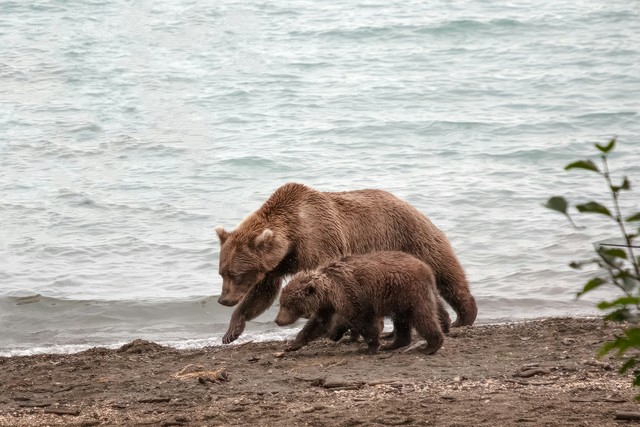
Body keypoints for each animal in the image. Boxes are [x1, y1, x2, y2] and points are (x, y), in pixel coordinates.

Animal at [215, 182, 476, 344]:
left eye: (235, 274)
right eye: (222, 272)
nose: (223, 299)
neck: (292, 236)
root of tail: (411, 205)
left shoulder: (319, 242)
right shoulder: (276, 265)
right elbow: (262, 293)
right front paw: (231, 331)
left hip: (410, 237)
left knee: (445, 271)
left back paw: (464, 316)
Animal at [274, 251, 445, 354]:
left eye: (288, 304)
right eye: (281, 302)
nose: (277, 320)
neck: (329, 291)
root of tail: (427, 268)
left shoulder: (352, 297)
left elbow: (364, 322)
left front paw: (371, 346)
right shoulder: (327, 306)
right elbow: (316, 324)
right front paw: (293, 345)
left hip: (410, 292)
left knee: (422, 317)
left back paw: (431, 345)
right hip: (399, 299)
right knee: (401, 321)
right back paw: (393, 344)